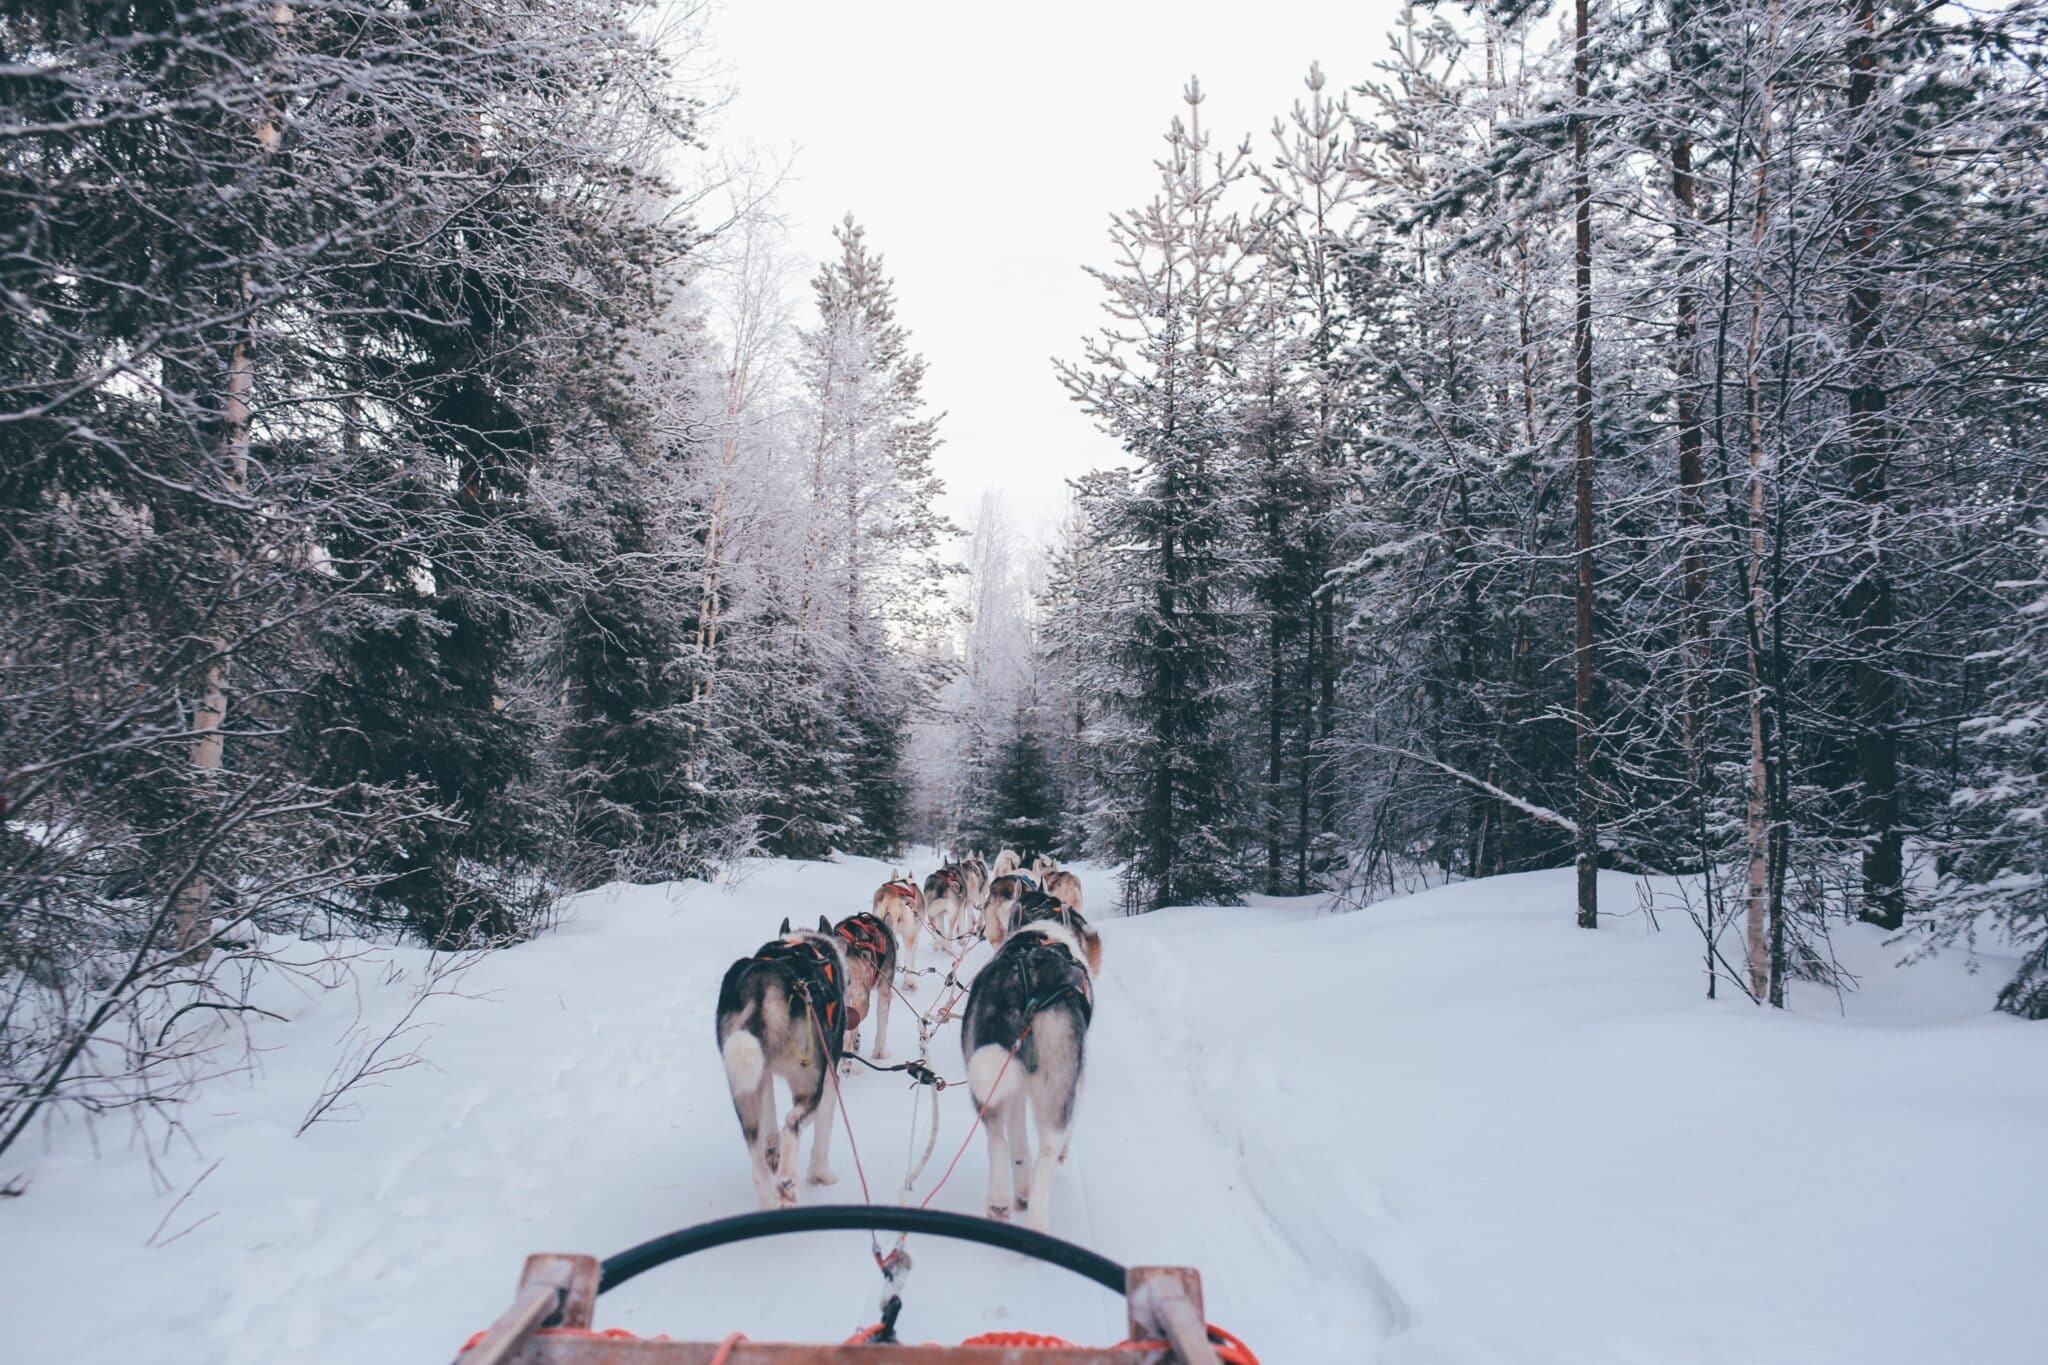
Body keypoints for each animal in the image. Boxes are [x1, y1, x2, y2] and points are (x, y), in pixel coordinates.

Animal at [720, 916, 847, 1203]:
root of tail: (762, 983)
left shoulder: (763, 1073)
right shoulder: (829, 1075)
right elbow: (823, 1129)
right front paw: (821, 1174)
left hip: (743, 1089)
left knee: (758, 1161)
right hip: (808, 1080)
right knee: (792, 1123)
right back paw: (787, 1180)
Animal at [966, 900, 1097, 1236]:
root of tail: (1025, 983)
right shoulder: (1077, 1081)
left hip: (991, 1076)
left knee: (1002, 1141)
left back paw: (1002, 1199)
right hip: (1058, 1088)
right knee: (1047, 1155)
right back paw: (1036, 1219)